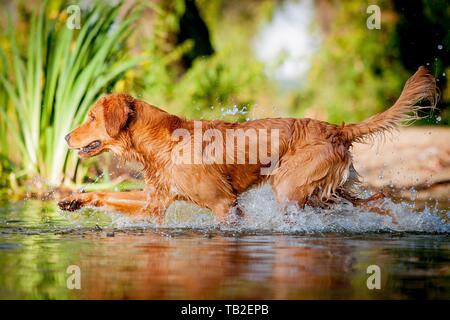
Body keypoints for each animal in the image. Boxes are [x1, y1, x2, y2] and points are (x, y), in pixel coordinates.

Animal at [59, 67, 436, 222]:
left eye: (91, 116)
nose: (64, 136)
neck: (165, 142)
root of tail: (336, 128)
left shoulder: (224, 204)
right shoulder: (156, 201)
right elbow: (107, 195)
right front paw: (74, 199)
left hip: (290, 190)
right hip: (323, 192)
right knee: (377, 201)